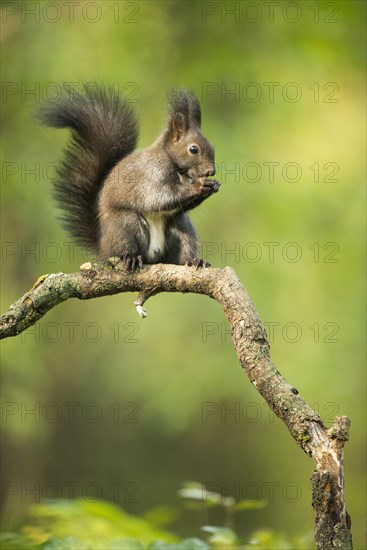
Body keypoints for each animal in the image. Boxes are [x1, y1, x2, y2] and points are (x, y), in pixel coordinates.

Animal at [38, 85, 221, 272]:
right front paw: (199, 186)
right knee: (126, 246)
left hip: (180, 225)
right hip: (125, 224)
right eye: (193, 149)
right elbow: (158, 197)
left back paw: (192, 261)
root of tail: (103, 248)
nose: (211, 171)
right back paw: (130, 257)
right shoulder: (152, 174)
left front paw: (212, 186)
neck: (179, 170)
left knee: (180, 249)